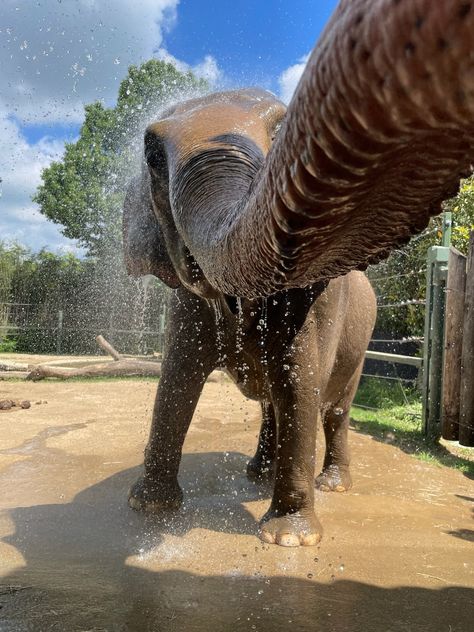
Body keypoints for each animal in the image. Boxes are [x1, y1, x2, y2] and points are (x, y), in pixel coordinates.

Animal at [123, 0, 474, 544]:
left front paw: (289, 538)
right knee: (273, 401)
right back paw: (256, 474)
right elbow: (178, 375)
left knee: (333, 408)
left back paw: (331, 485)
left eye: (280, 130)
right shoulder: (187, 302)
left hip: (360, 342)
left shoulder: (318, 300)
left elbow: (299, 376)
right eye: (153, 157)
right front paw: (150, 508)